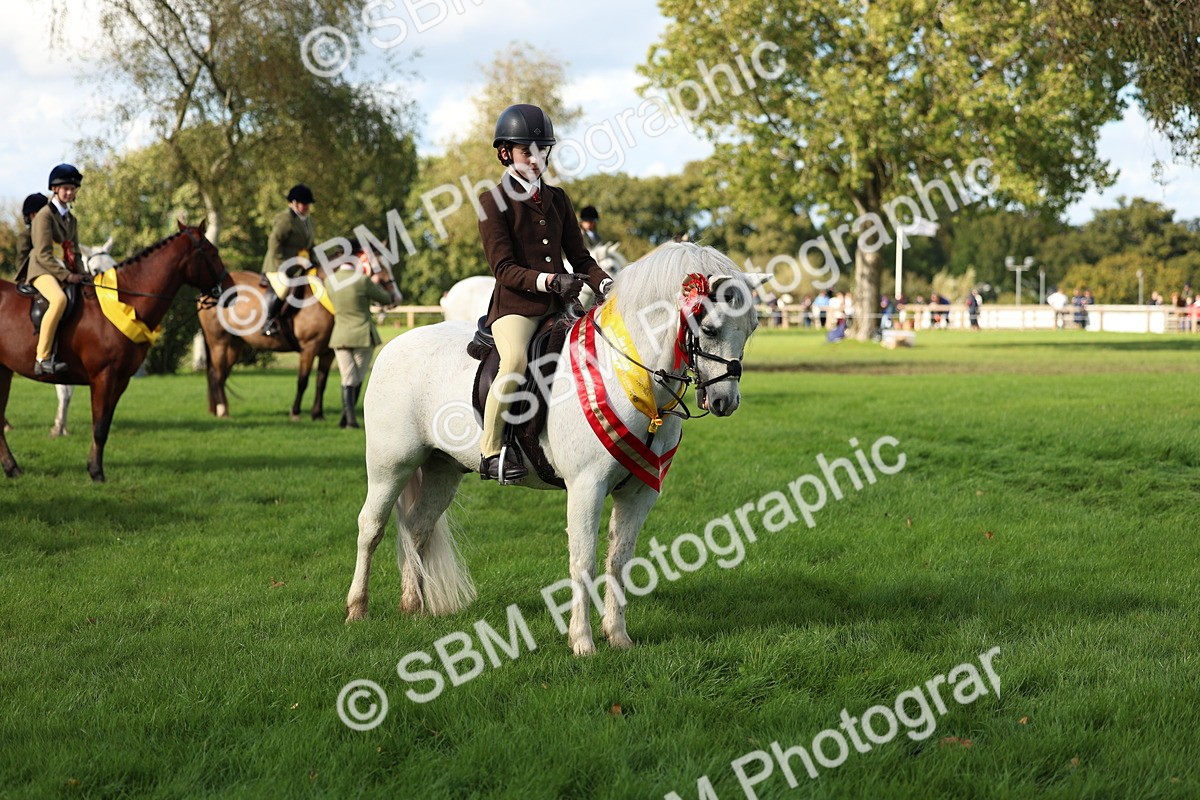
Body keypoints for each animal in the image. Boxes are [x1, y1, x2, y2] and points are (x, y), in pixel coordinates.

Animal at [0, 222, 233, 481]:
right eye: (213, 253)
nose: (230, 290)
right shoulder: (103, 377)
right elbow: (98, 425)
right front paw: (96, 472)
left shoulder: (120, 380)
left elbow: (104, 425)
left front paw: (93, 466)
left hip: (4, 371)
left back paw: (12, 468)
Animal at [196, 263, 402, 420]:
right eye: (380, 266)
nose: (396, 297)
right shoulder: (309, 348)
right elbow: (303, 381)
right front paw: (295, 412)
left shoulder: (327, 352)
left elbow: (321, 382)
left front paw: (317, 414)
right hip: (219, 342)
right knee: (217, 375)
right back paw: (222, 411)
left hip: (234, 345)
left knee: (220, 374)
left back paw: (218, 409)